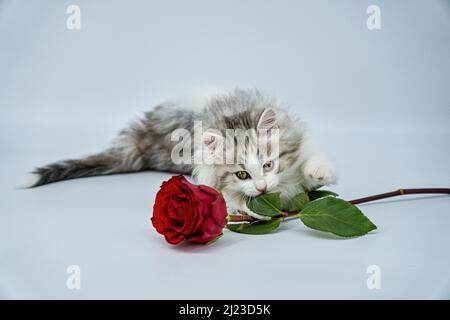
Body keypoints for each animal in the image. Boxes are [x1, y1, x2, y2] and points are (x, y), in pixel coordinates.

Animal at [22, 88, 338, 220]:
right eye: (242, 174)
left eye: (269, 165)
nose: (261, 188)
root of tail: (141, 140)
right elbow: (234, 199)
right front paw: (252, 207)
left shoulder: (300, 141)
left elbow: (310, 160)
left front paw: (320, 171)